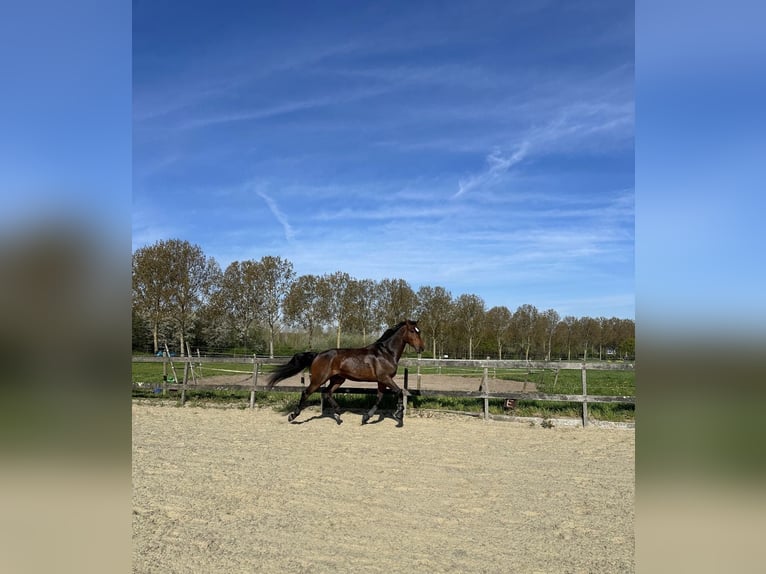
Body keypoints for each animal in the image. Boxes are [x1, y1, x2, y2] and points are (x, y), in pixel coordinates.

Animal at [266, 320, 425, 426]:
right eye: (412, 331)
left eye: (419, 331)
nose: (421, 348)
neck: (386, 353)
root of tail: (318, 355)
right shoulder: (385, 378)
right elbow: (399, 392)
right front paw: (398, 415)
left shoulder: (381, 381)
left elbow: (379, 398)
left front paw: (366, 417)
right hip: (319, 379)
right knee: (306, 393)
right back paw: (293, 416)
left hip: (338, 379)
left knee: (327, 393)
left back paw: (338, 416)